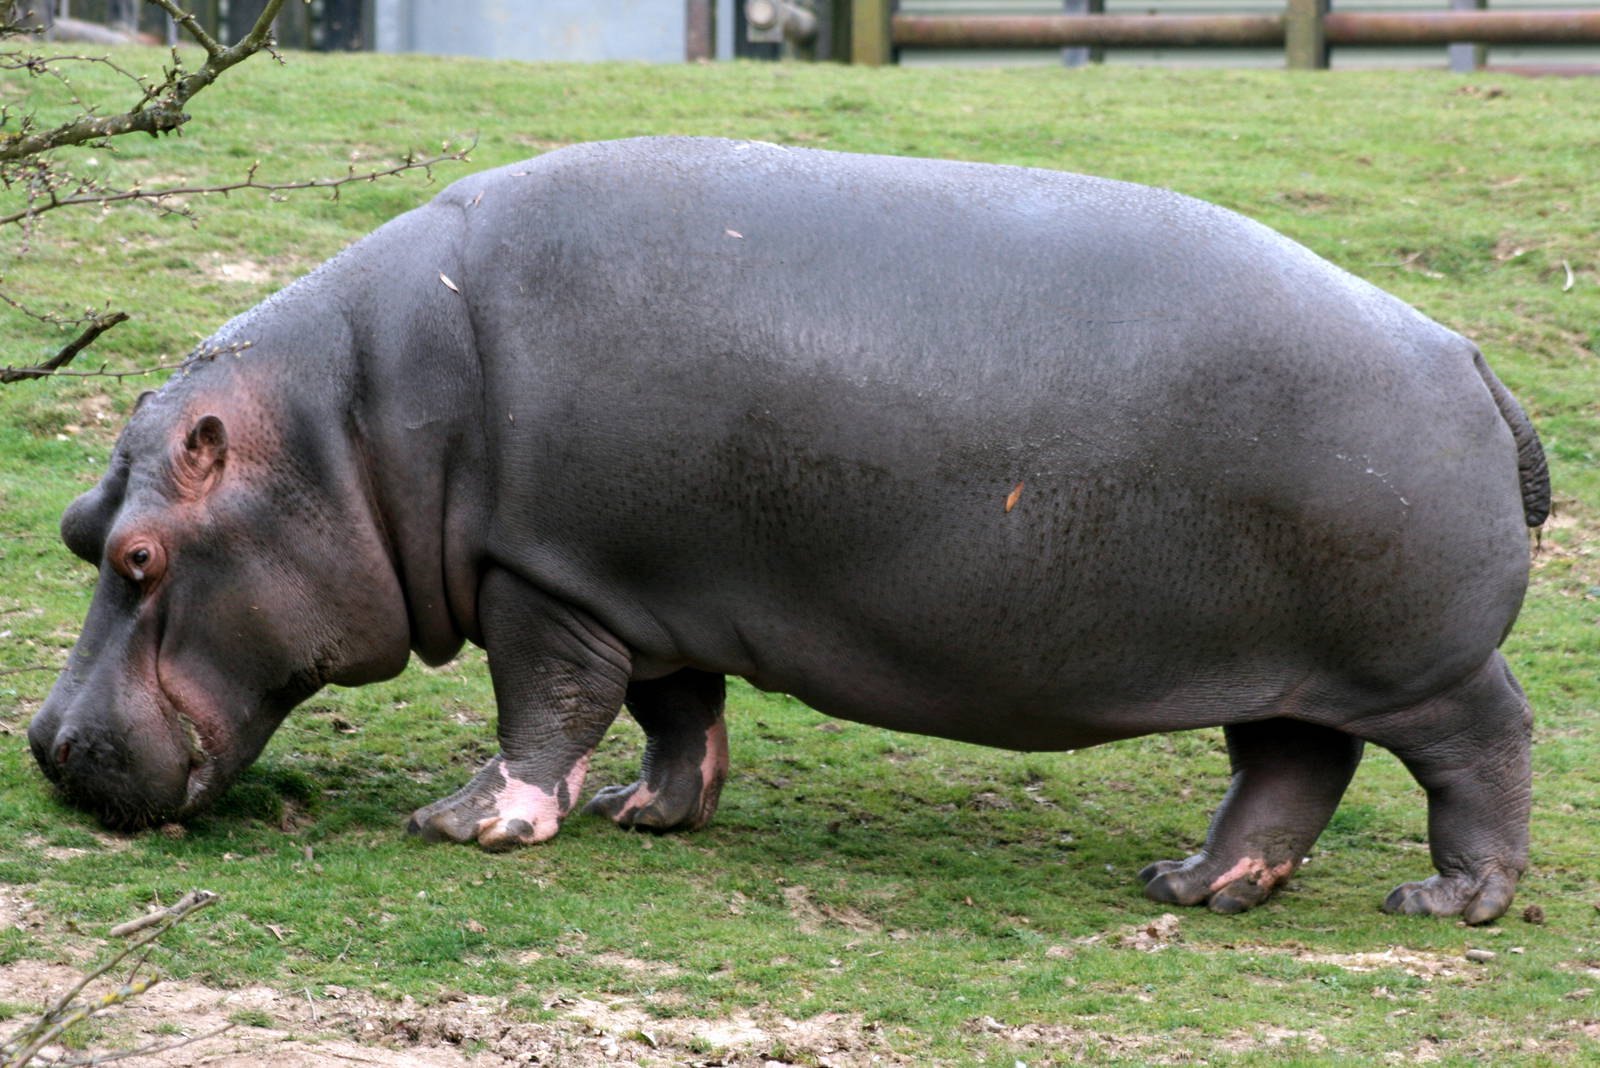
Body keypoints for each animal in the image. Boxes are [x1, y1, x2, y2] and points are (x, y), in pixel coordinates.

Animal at [29, 137, 1548, 924]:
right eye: (77, 525)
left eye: (140, 556)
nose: (45, 745)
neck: (345, 428)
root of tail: (1468, 356)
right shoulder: (636, 583)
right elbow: (674, 710)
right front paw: (653, 816)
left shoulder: (540, 573)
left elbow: (546, 708)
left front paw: (466, 825)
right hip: (1292, 667)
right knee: (1289, 770)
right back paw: (1193, 886)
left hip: (1414, 663)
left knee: (1483, 743)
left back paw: (1449, 904)